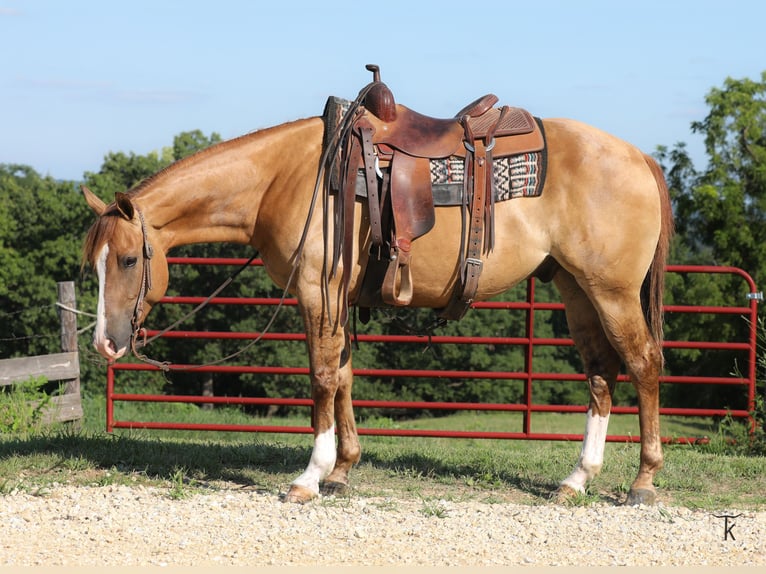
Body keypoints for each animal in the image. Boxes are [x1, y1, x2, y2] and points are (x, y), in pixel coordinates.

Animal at [81, 76, 673, 506]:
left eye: (129, 260)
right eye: (94, 264)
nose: (106, 343)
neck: (284, 180)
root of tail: (640, 156)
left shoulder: (317, 293)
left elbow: (322, 378)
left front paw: (309, 477)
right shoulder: (337, 299)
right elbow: (343, 375)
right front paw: (342, 470)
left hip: (612, 291)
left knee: (643, 364)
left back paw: (642, 482)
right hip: (577, 289)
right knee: (601, 373)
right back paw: (578, 479)